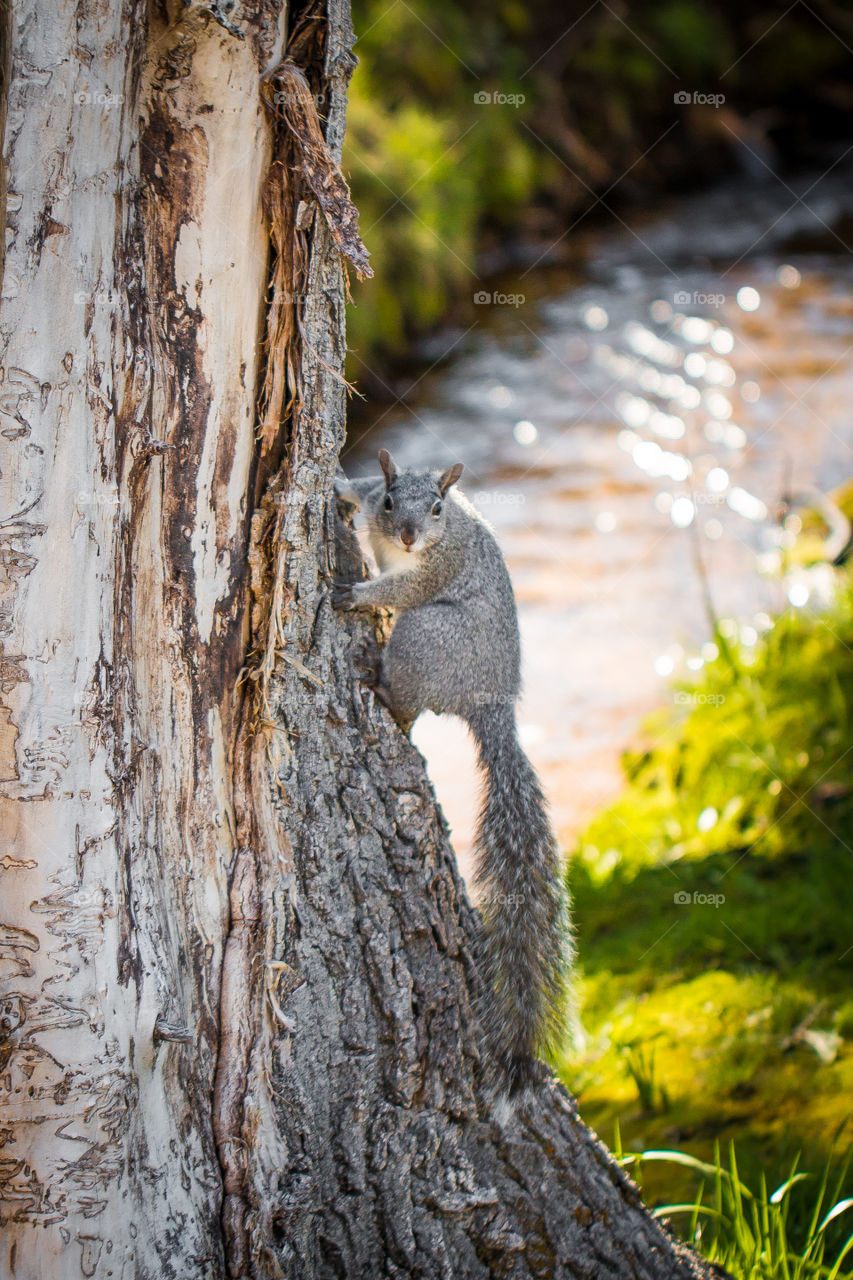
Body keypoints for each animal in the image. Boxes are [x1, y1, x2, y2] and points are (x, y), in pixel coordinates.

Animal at [333, 450, 571, 1090]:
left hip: (426, 638)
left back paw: (380, 684)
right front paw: (337, 485)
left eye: (439, 509)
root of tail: (490, 704)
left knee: (408, 702)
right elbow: (356, 490)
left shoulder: (434, 571)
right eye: (392, 500)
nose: (409, 535)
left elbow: (403, 584)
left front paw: (356, 592)